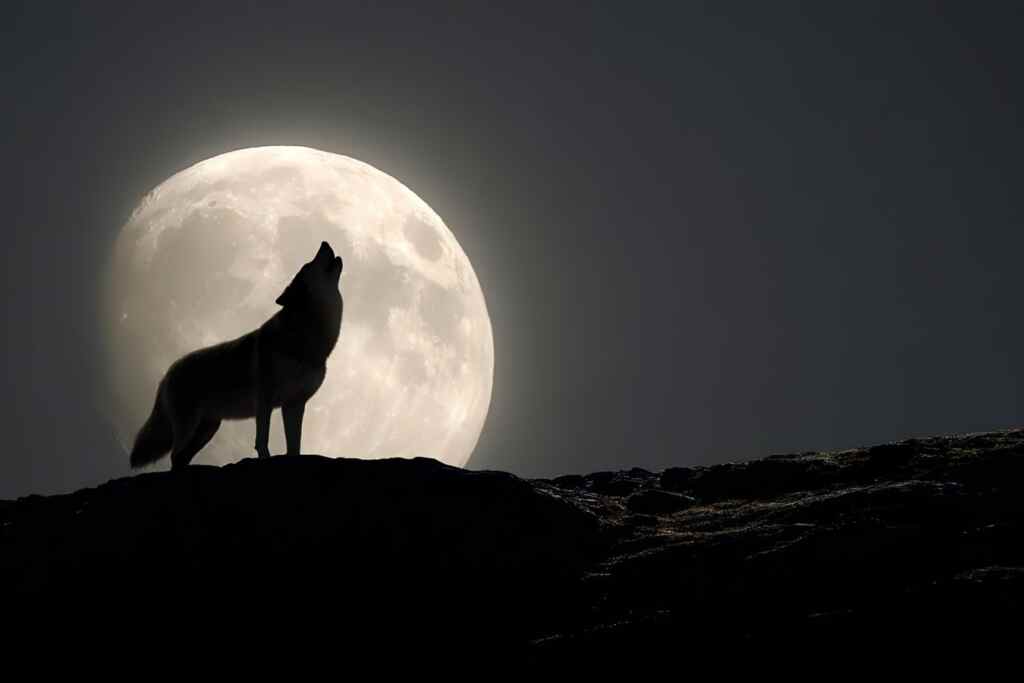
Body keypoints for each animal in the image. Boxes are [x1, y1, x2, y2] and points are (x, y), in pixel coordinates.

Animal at [129, 241, 344, 470]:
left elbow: (294, 447)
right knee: (175, 456)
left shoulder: (294, 405)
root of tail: (167, 373)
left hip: (208, 429)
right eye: (307, 265)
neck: (306, 338)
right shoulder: (264, 400)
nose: (324, 243)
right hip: (190, 426)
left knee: (182, 457)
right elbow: (262, 440)